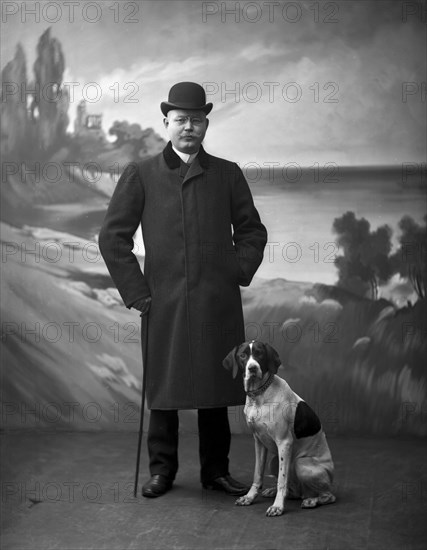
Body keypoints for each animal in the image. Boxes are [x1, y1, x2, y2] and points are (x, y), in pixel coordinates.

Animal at [222, 340, 336, 516]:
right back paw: (280, 492)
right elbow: (257, 474)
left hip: (302, 465)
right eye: (242, 355)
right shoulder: (259, 442)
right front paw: (249, 497)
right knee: (294, 490)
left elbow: (281, 480)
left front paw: (277, 506)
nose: (252, 368)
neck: (259, 396)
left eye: (260, 353)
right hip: (275, 461)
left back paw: (312, 500)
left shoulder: (284, 442)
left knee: (327, 495)